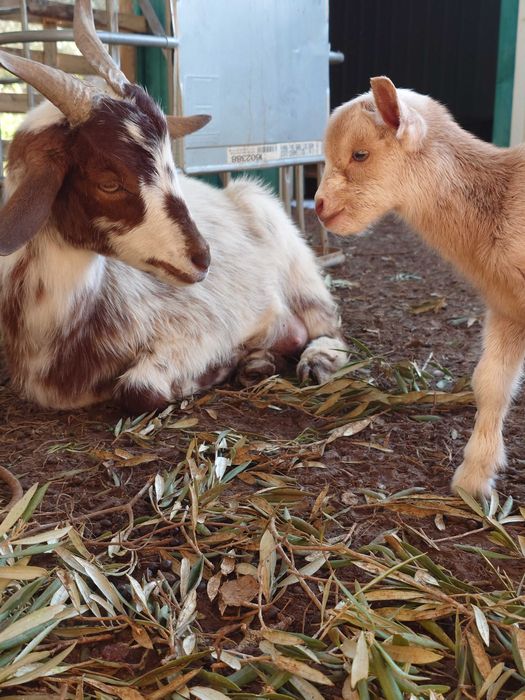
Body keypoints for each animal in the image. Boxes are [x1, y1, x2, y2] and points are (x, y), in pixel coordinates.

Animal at [0, 0, 347, 414]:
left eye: (171, 165)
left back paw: (317, 359)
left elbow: (138, 389)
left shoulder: (208, 325)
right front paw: (248, 359)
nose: (203, 258)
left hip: (293, 259)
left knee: (327, 321)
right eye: (109, 182)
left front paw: (226, 363)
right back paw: (258, 363)